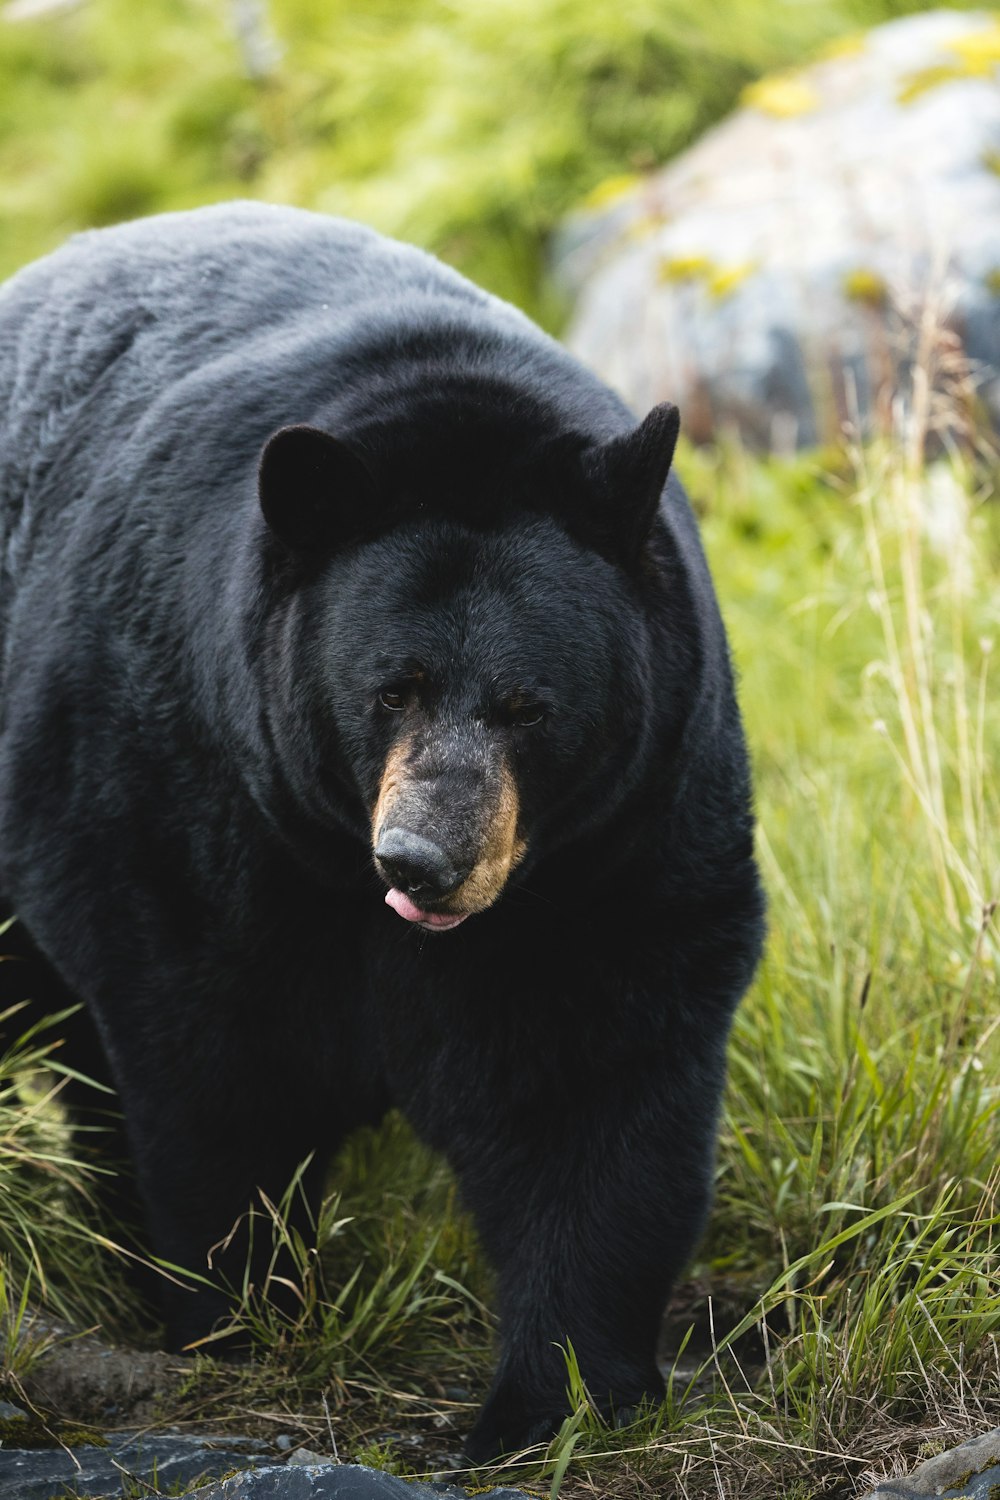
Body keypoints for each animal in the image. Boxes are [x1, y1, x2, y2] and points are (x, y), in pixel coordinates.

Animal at [0, 205, 761, 1458]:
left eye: (528, 705)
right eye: (388, 690)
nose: (424, 858)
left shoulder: (622, 839)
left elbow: (591, 1079)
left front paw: (555, 1395)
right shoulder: (178, 792)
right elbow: (210, 1066)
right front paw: (242, 1316)